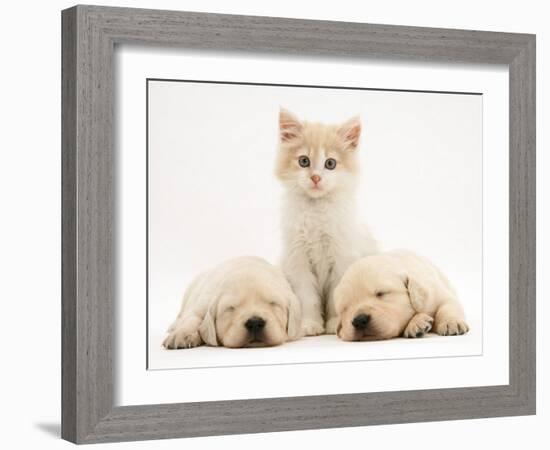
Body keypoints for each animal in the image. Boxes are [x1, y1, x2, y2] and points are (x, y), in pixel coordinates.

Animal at [162, 256, 304, 348]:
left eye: (273, 303)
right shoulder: (203, 302)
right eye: (230, 308)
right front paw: (182, 335)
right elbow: (192, 318)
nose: (255, 323)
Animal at [276, 108, 380, 334]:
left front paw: (334, 324)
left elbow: (336, 296)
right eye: (304, 161)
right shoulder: (298, 260)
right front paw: (309, 325)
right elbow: (307, 298)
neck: (316, 210)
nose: (315, 178)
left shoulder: (342, 257)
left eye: (330, 163)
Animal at [336, 250, 470, 342]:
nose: (359, 320)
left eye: (381, 293)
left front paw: (451, 323)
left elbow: (447, 305)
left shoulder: (435, 292)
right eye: (344, 308)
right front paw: (418, 322)